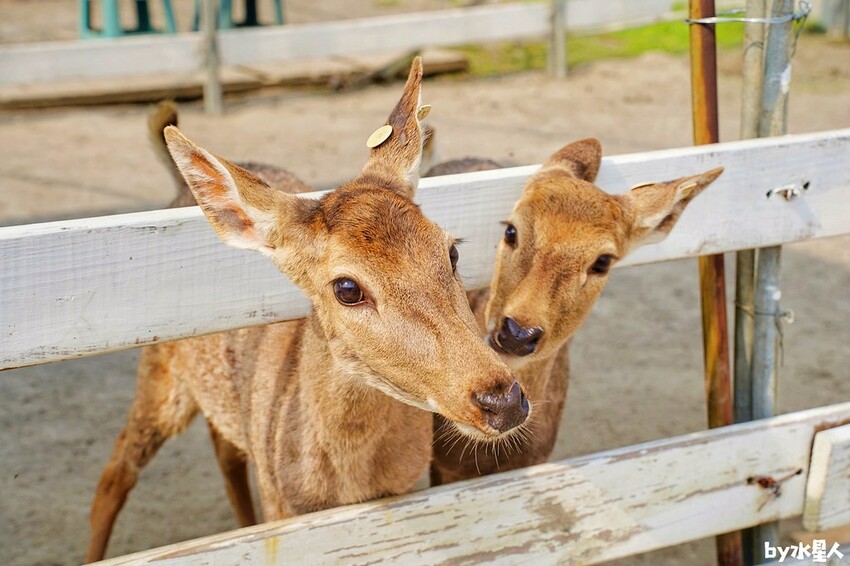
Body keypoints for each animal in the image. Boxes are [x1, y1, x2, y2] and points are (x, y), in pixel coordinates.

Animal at [86, 58, 528, 564]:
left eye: (452, 250)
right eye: (347, 288)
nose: (502, 400)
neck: (349, 490)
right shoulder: (285, 506)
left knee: (225, 451)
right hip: (159, 372)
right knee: (115, 471)